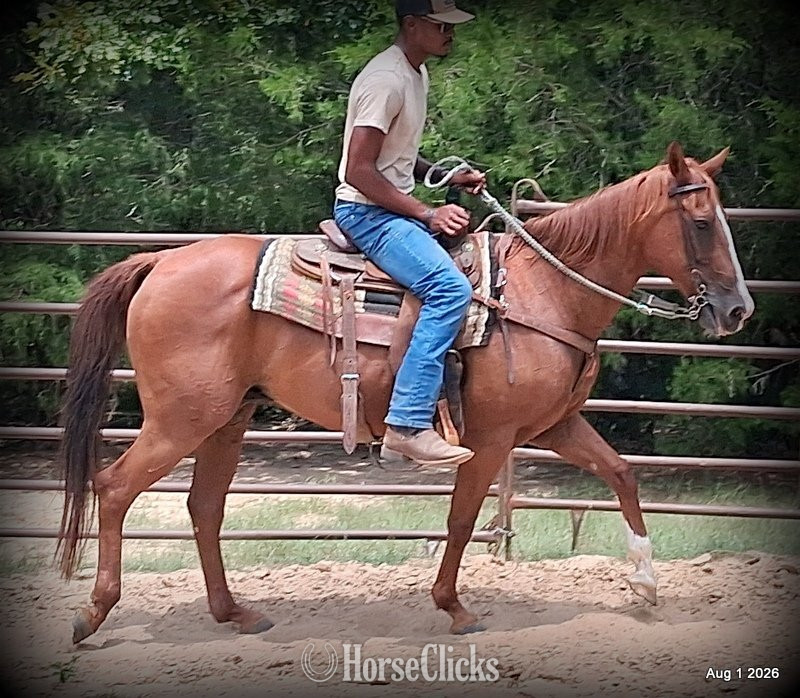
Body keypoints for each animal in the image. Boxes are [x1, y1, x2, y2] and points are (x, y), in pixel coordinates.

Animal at [57, 142, 753, 642]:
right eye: (700, 222)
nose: (738, 310)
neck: (544, 292)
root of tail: (160, 261)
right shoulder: (493, 438)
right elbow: (462, 518)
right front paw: (455, 607)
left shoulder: (554, 426)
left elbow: (622, 473)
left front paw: (645, 581)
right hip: (181, 419)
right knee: (114, 487)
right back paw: (94, 613)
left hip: (226, 420)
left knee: (204, 508)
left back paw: (235, 613)